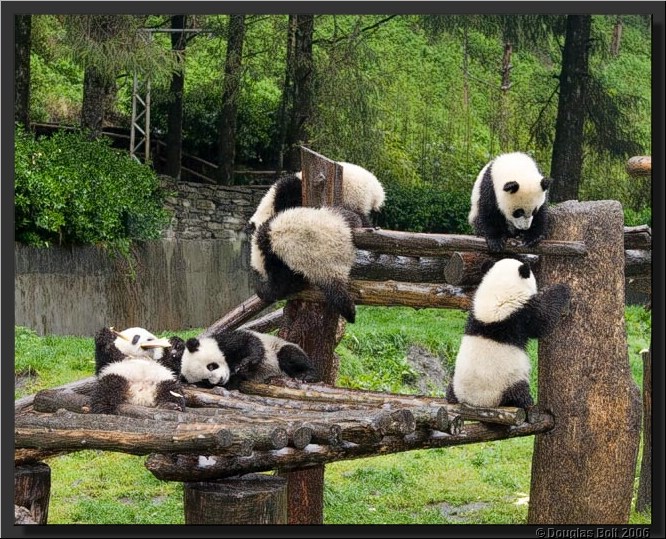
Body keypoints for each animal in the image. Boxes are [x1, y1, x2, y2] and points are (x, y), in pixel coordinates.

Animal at [179, 329, 315, 389]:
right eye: (205, 380)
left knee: (288, 354)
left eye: (211, 366)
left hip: (278, 347)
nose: (220, 380)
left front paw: (245, 364)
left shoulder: (224, 341)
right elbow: (233, 383)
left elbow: (250, 343)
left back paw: (306, 375)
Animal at [446, 258, 570, 409]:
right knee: (518, 392)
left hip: (456, 381)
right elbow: (544, 321)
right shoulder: (520, 314)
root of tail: (473, 402)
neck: (498, 292)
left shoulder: (474, 313)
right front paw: (561, 289)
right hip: (506, 384)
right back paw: (527, 402)